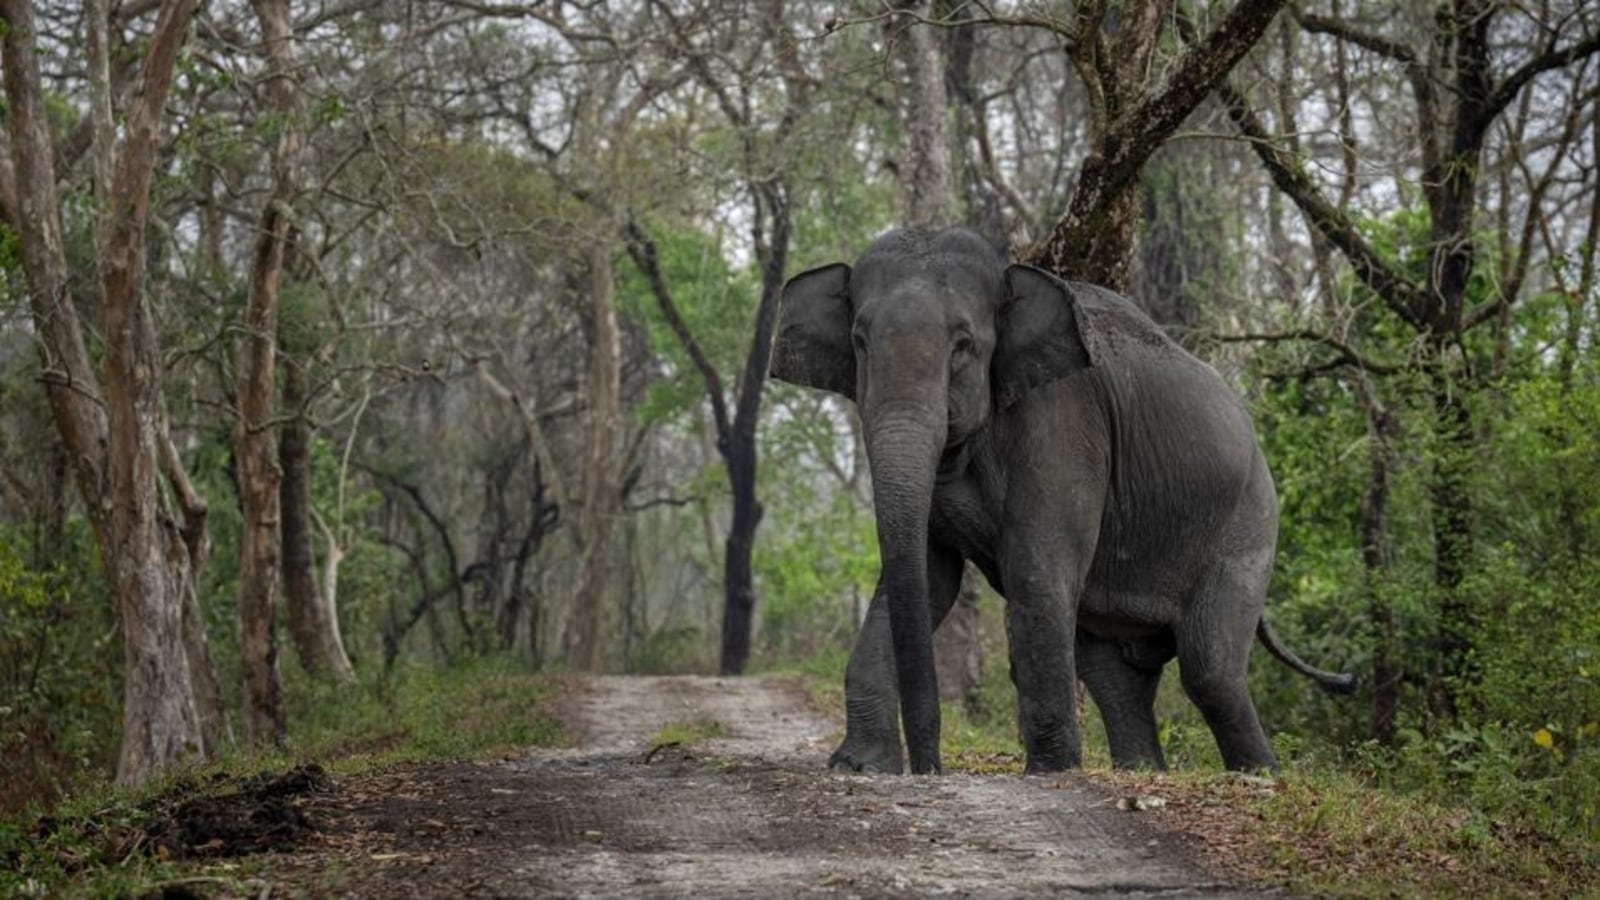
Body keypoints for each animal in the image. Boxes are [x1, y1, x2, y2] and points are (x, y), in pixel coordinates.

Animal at [771, 224, 1350, 771]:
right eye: (859, 342)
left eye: (963, 345)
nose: (930, 767)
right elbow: (929, 577)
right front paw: (859, 765)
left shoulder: (1064, 419)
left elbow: (1034, 567)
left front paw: (1051, 772)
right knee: (1112, 671)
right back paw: (1143, 770)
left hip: (1248, 524)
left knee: (1210, 667)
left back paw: (1259, 776)